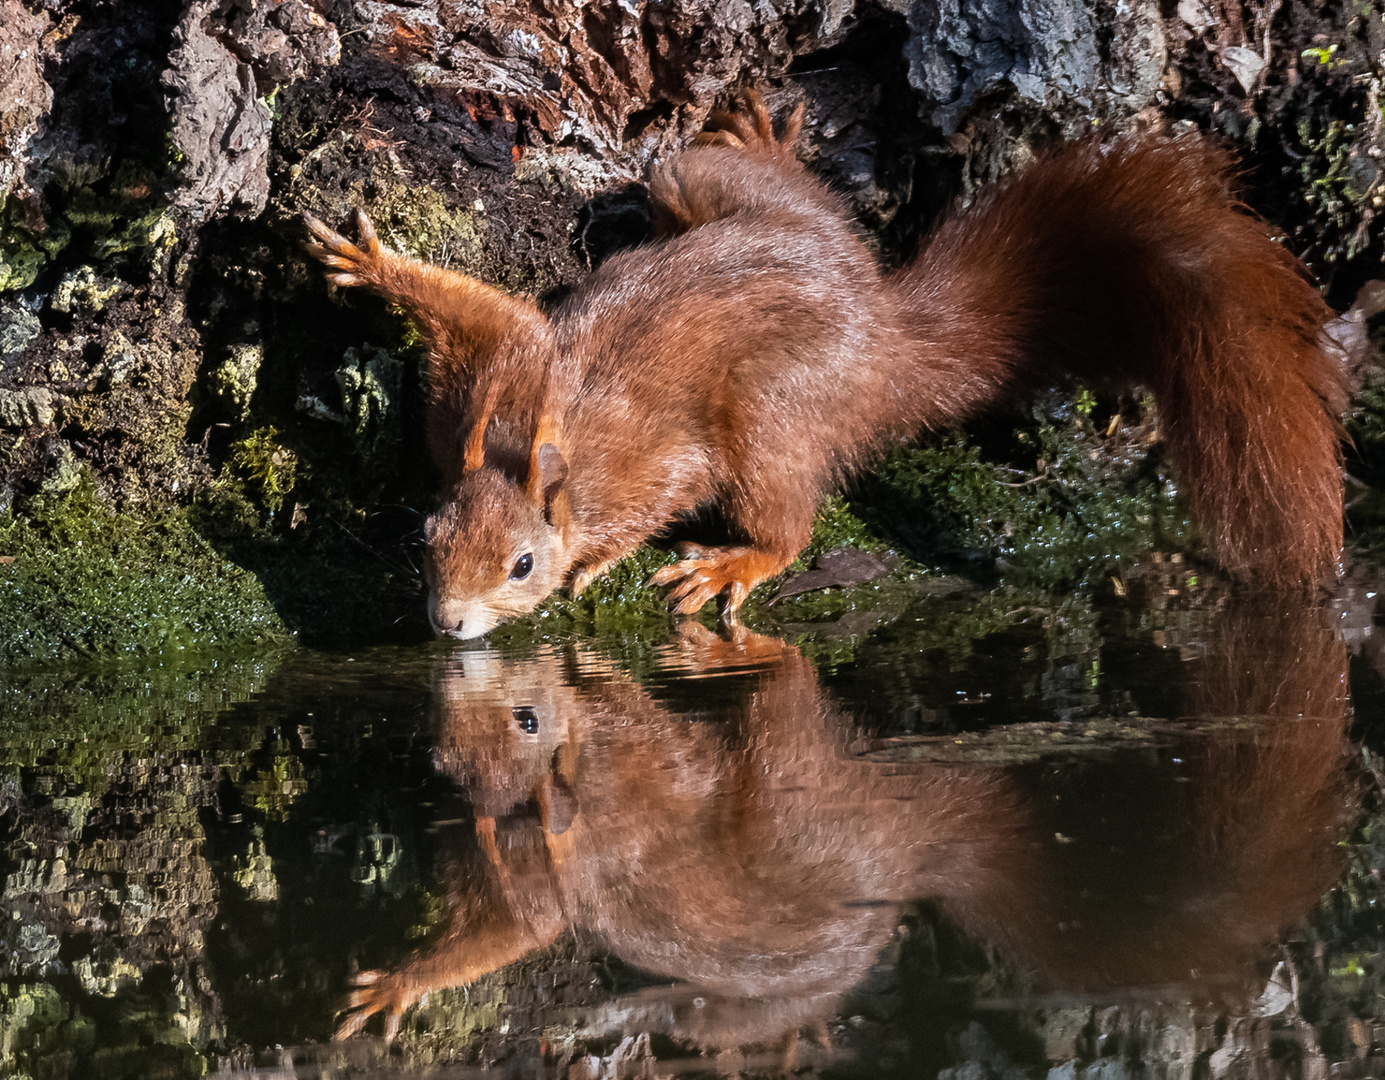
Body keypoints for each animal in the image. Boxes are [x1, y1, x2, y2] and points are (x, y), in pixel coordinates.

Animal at [306, 94, 1351, 642]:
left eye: (522, 564)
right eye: (426, 538)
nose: (446, 624)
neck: (526, 439)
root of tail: (880, 328)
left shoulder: (650, 455)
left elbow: (656, 491)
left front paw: (593, 566)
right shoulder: (488, 375)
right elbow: (485, 311)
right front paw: (376, 265)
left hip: (771, 411)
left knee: (786, 517)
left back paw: (733, 561)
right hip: (702, 187)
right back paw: (762, 142)